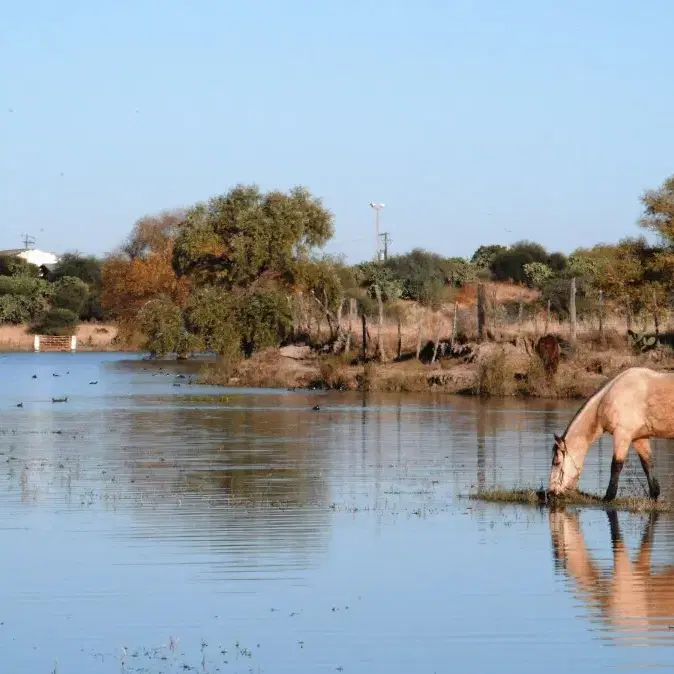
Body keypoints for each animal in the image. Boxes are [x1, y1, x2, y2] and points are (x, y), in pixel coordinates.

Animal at [544, 364, 672, 502]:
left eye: (557, 463)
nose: (551, 493)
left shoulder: (622, 435)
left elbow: (616, 465)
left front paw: (608, 496)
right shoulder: (639, 438)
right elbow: (647, 464)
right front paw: (654, 495)